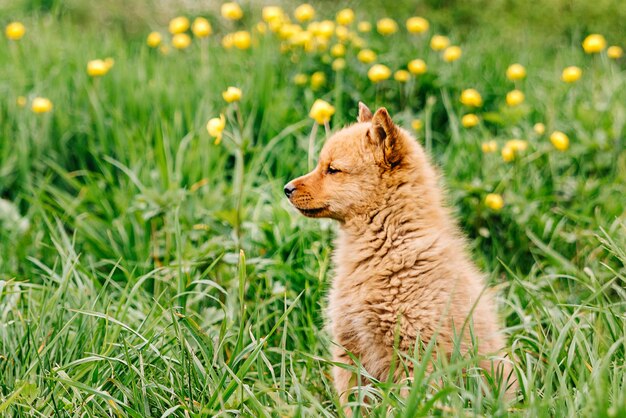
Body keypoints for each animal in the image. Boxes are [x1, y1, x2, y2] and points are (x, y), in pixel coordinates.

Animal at [282, 103, 512, 406]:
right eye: (321, 166)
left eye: (332, 170)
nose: (286, 189)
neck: (390, 245)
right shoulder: (349, 350)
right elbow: (353, 404)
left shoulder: (417, 356)